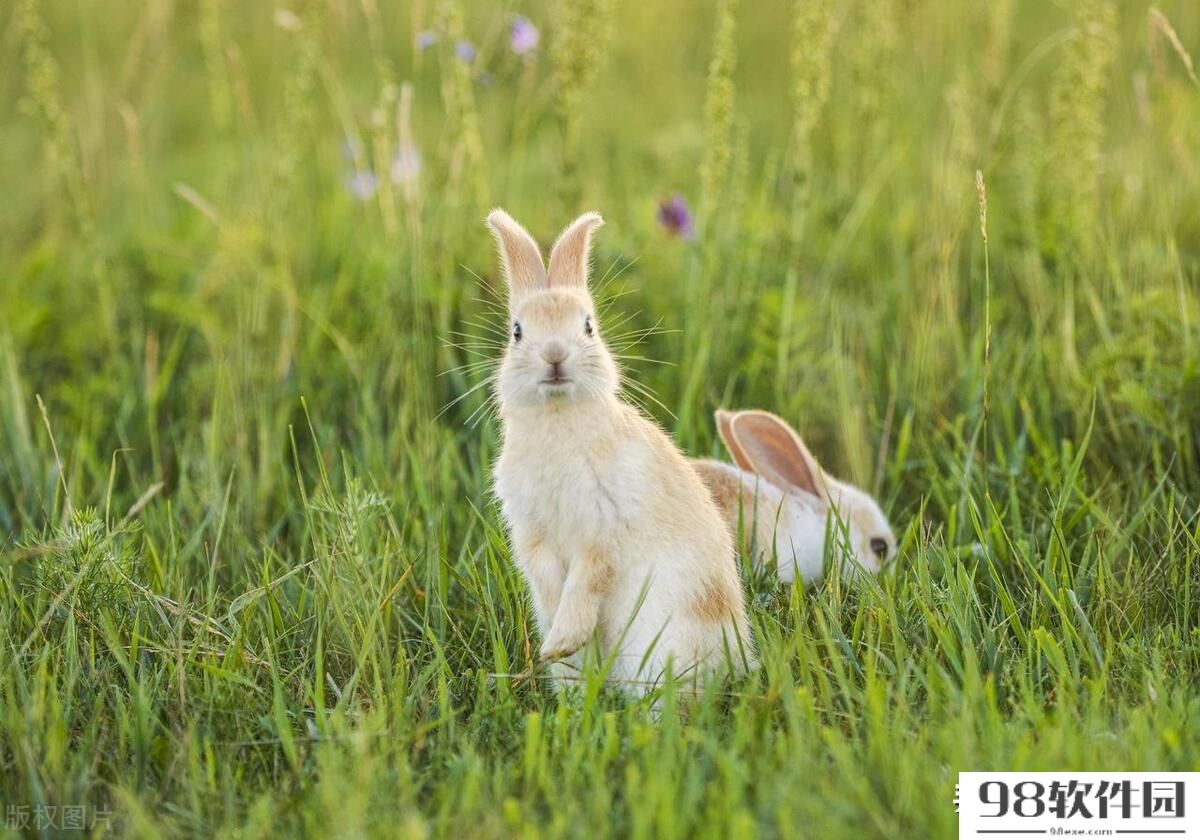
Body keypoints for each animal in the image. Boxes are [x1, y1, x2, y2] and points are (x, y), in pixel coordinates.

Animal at [484, 208, 748, 691]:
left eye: (588, 326)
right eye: (517, 332)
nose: (554, 354)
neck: (559, 419)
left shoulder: (603, 523)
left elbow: (588, 579)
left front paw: (562, 638)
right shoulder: (533, 531)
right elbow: (549, 579)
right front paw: (556, 644)